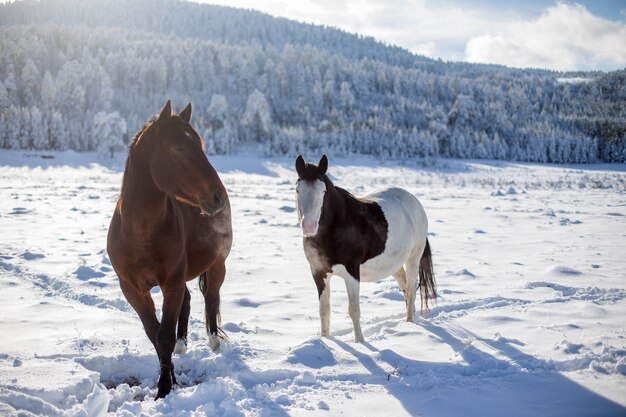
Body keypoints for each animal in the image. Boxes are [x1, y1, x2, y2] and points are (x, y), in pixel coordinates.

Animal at [106, 100, 233, 396]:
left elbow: (163, 335)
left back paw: (213, 341)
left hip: (217, 264)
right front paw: (171, 378)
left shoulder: (171, 282)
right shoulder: (132, 289)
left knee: (211, 298)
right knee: (187, 301)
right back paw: (182, 344)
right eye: (179, 148)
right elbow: (154, 334)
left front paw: (164, 389)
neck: (140, 234)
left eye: (201, 145)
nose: (218, 196)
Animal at [294, 154, 434, 340]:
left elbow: (354, 311)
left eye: (323, 191)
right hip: (394, 263)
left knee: (411, 288)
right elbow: (324, 311)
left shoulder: (352, 273)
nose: (309, 226)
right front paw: (325, 340)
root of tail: (414, 201)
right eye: (297, 190)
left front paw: (360, 342)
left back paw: (410, 323)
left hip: (413, 257)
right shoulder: (318, 273)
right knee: (405, 287)